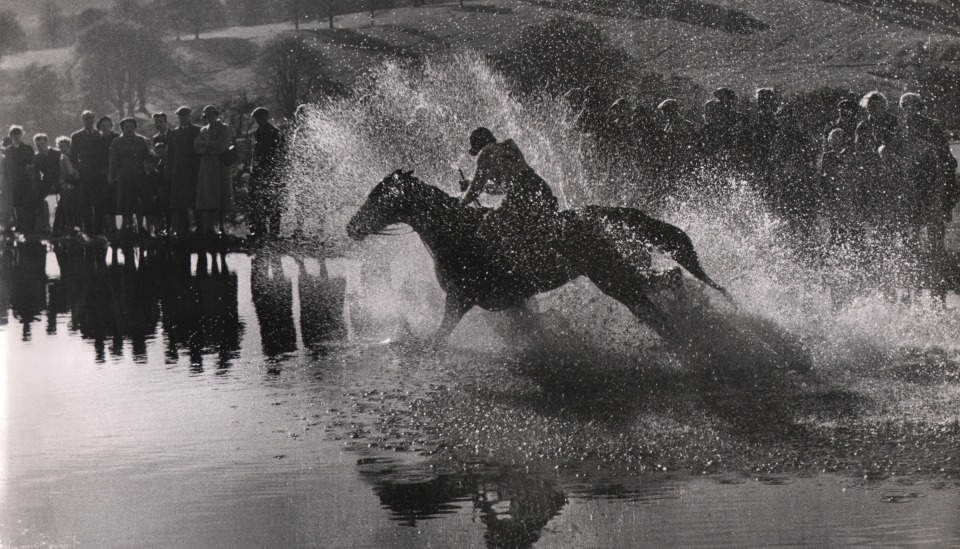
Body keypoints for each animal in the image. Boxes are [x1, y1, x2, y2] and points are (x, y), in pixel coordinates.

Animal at [348, 169, 724, 340]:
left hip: (611, 278)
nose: (351, 227)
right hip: (620, 271)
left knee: (654, 299)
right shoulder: (511, 302)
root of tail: (602, 214)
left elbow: (438, 338)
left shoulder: (459, 298)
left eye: (378, 197)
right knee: (669, 279)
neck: (456, 233)